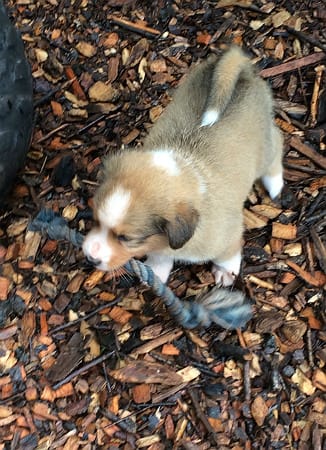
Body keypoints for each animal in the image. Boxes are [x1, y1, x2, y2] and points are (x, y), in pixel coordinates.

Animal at [83, 45, 284, 284]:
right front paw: (156, 272)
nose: (90, 258)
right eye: (95, 220)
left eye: (126, 238)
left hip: (264, 149)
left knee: (277, 144)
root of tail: (242, 71)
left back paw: (275, 184)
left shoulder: (228, 236)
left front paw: (226, 272)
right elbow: (161, 256)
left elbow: (227, 255)